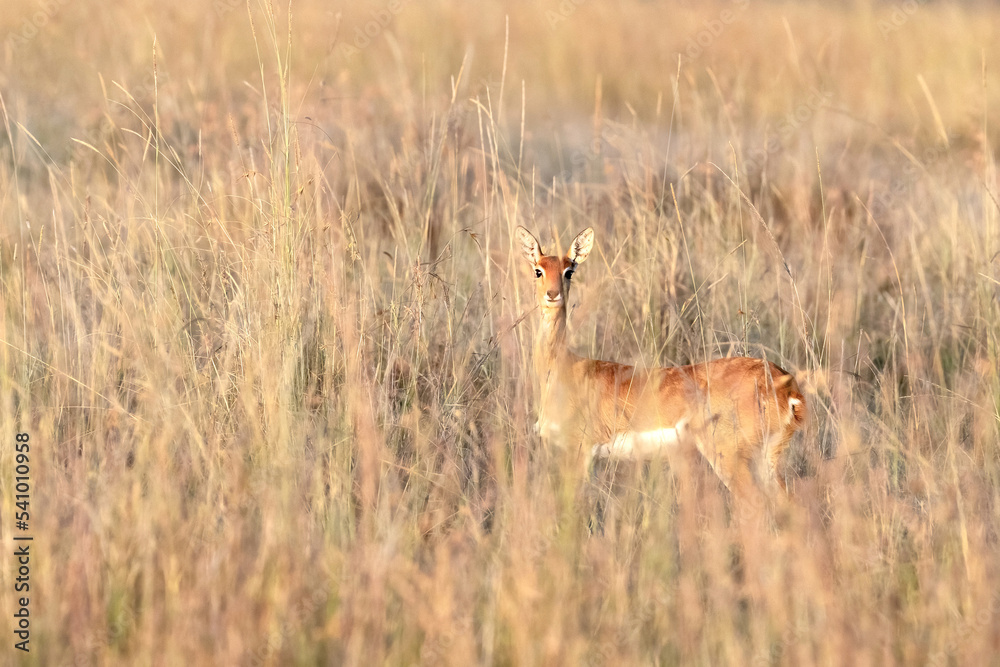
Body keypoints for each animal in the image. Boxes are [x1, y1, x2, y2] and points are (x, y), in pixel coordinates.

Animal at [515, 226, 805, 498]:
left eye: (569, 271)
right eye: (538, 270)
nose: (553, 295)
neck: (562, 368)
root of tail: (786, 386)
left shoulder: (580, 449)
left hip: (730, 456)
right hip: (767, 461)